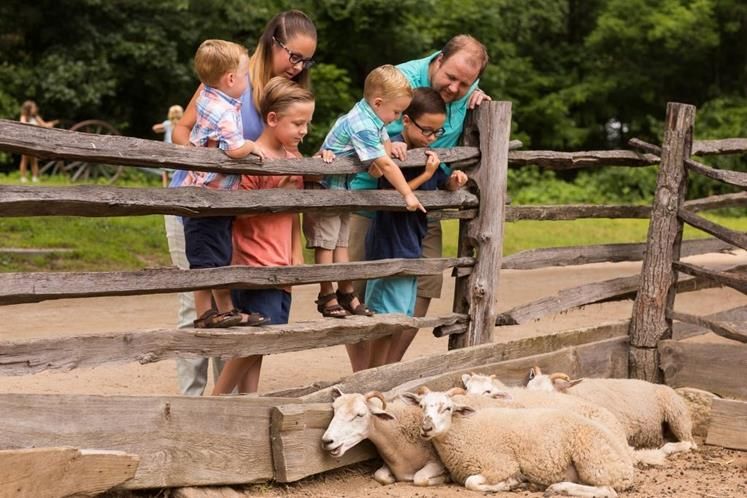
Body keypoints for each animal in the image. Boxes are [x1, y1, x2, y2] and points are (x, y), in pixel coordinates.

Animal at [320, 388, 448, 484]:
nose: (327, 441)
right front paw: (391, 479)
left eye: (360, 415)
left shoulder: (437, 462)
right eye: (334, 411)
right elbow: (380, 475)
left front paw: (444, 478)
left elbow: (419, 478)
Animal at [404, 390, 636, 498]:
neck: (463, 430)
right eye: (421, 406)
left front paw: (512, 483)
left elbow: (472, 482)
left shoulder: (500, 465)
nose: (426, 428)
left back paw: (557, 487)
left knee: (607, 490)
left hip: (594, 461)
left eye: (448, 409)